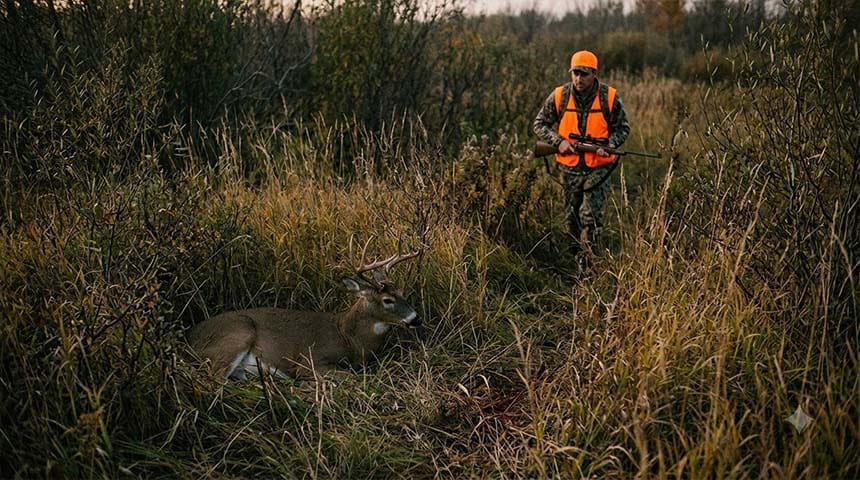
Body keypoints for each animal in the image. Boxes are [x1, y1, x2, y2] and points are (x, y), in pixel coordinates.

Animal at [188, 248, 422, 381]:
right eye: (387, 300)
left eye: (402, 293)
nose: (416, 319)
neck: (349, 336)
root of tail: (188, 338)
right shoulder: (308, 361)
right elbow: (351, 377)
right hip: (238, 334)